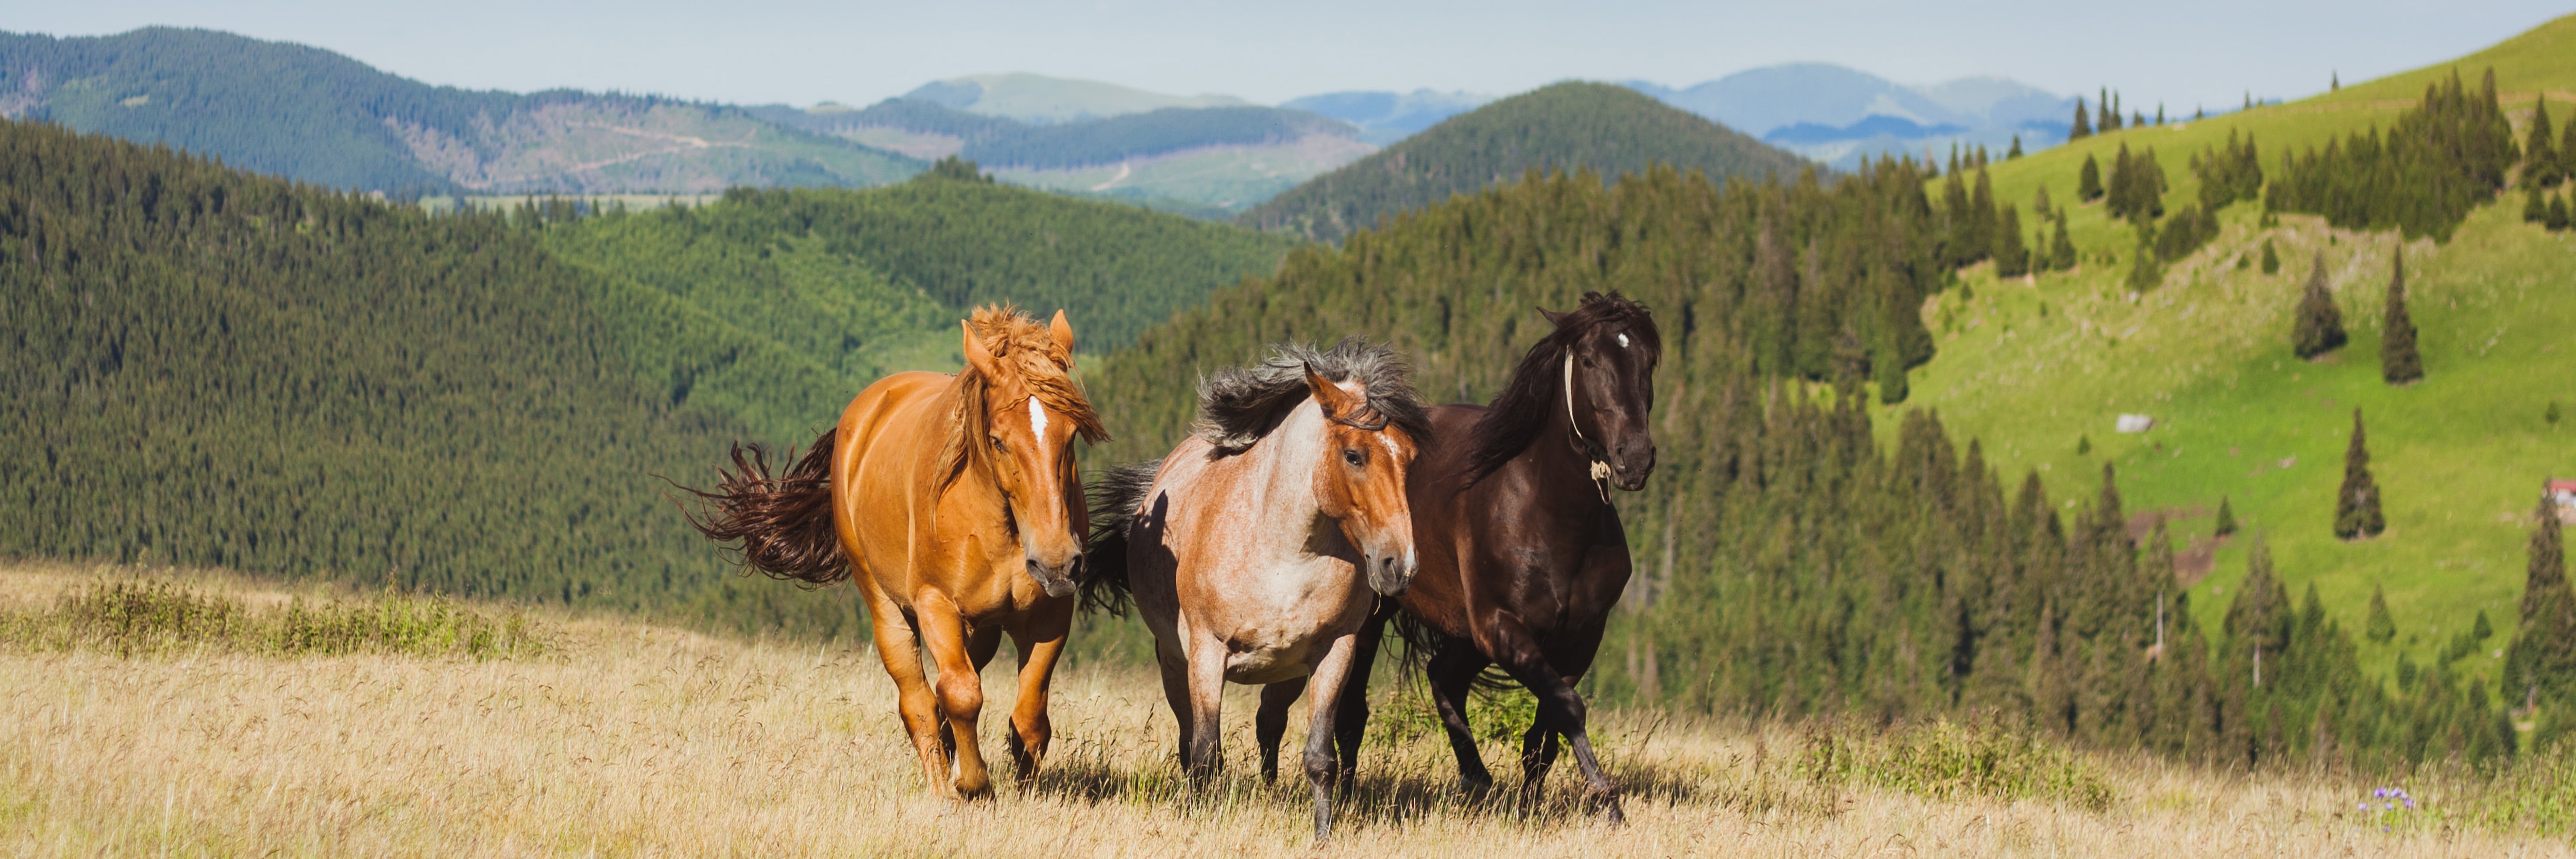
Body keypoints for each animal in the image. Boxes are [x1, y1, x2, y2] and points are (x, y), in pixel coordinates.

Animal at [680, 303, 1103, 794]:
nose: (1057, 562)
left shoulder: (1051, 614)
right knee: (918, 699)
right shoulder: (935, 604)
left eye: (1071, 435)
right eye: (998, 440)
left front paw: (1025, 790)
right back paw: (942, 781)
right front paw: (972, 784)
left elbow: (1030, 717)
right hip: (885, 602)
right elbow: (960, 694)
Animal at [1087, 335, 1443, 835]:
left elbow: (1320, 756)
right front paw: (1202, 821)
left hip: (1287, 673)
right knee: (1190, 740)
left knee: (1268, 723)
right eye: (1354, 455)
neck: (1282, 554)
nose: (1401, 566)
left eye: (1409, 458)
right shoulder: (1207, 654)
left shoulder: (1336, 652)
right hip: (1175, 664)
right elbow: (1205, 753)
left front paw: (1322, 834)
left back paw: (1271, 789)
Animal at [1267, 291, 1669, 820]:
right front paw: (1607, 798)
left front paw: (1530, 803)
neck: (1551, 514)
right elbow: (1568, 707)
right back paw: (1354, 795)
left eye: (1648, 361)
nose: (1635, 458)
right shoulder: (1501, 627)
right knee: (1356, 711)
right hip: (1379, 616)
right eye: (1588, 359)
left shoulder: (1579, 637)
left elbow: (1546, 731)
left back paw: (1476, 779)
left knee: (1443, 677)